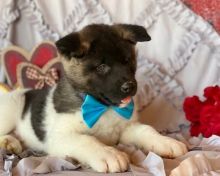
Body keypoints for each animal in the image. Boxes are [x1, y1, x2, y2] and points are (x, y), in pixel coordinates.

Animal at [0, 24, 187, 173]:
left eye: (127, 61)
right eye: (102, 67)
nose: (130, 86)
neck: (101, 106)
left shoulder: (125, 129)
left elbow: (146, 130)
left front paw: (165, 141)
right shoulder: (59, 137)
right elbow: (87, 140)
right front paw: (109, 154)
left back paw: (13, 143)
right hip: (10, 111)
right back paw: (8, 142)